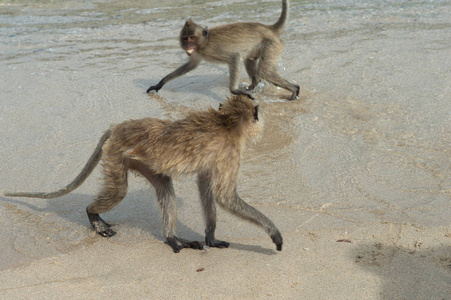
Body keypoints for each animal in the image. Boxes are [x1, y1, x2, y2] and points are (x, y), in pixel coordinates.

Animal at [4, 95, 282, 253]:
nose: (261, 121)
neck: (227, 123)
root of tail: (120, 127)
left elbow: (205, 185)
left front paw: (210, 236)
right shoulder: (230, 151)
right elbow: (224, 196)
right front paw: (273, 231)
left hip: (140, 160)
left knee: (165, 187)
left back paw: (172, 238)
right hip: (116, 154)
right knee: (119, 191)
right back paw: (92, 214)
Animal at [147, 0, 300, 101]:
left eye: (192, 38)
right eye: (185, 39)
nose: (188, 46)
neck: (205, 42)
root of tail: (269, 28)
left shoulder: (213, 50)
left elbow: (235, 57)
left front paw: (234, 91)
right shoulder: (197, 54)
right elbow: (191, 65)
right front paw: (160, 83)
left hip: (272, 45)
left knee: (265, 70)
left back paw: (294, 89)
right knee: (250, 61)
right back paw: (254, 84)